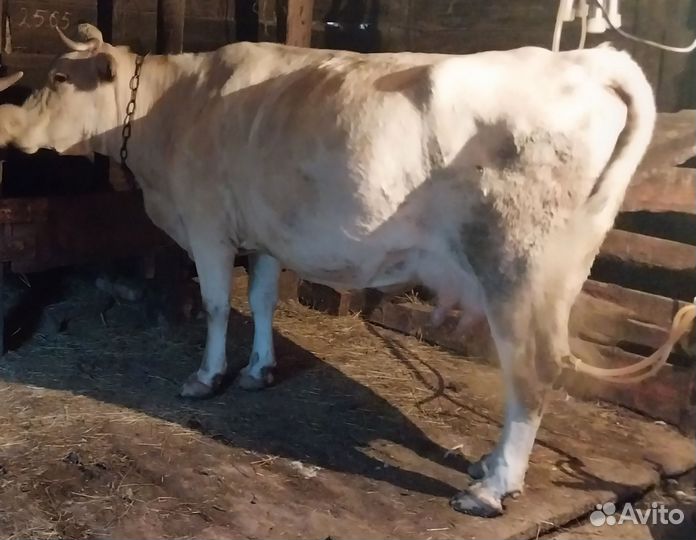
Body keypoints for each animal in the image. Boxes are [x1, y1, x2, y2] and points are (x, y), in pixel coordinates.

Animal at [0, 24, 655, 517]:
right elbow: (261, 299)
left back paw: (492, 488)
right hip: (562, 271)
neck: (171, 110)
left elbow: (215, 306)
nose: (8, 125)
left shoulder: (207, 225)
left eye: (59, 78)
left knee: (533, 372)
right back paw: (489, 465)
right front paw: (258, 370)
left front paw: (206, 377)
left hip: (519, 270)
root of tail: (586, 61)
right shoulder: (262, 231)